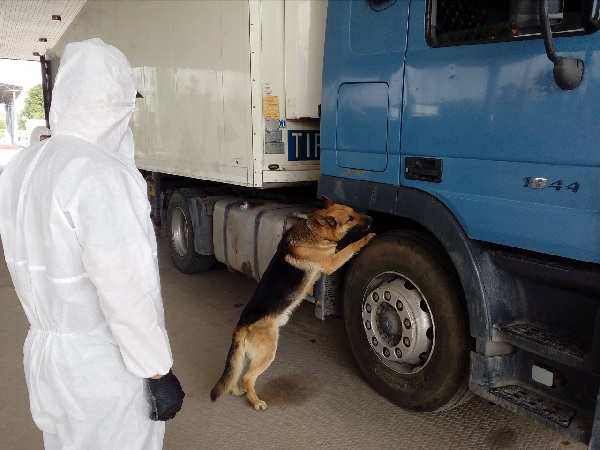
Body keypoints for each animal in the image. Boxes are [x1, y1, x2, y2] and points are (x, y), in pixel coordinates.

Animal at [209, 197, 372, 412]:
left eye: (354, 212)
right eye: (350, 219)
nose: (371, 219)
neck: (314, 230)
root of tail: (241, 326)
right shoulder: (331, 263)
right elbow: (350, 248)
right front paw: (367, 238)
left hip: (245, 356)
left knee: (235, 374)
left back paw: (236, 391)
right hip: (267, 353)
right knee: (247, 377)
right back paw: (255, 401)